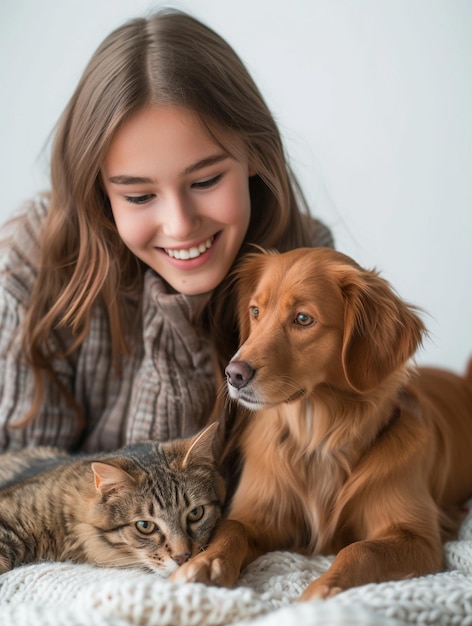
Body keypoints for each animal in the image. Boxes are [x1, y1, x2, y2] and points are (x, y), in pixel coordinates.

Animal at [172, 246, 472, 596]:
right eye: (256, 311)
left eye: (303, 319)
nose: (233, 374)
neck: (317, 436)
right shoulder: (260, 516)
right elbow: (231, 528)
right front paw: (207, 563)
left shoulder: (417, 536)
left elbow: (361, 549)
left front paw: (323, 590)